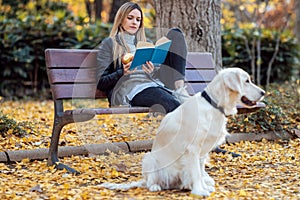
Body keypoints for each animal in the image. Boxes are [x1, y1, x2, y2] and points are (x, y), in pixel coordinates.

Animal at [99, 68, 264, 196]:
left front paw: (203, 186)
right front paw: (200, 191)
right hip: (149, 158)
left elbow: (200, 171)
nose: (263, 92)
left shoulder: (202, 152)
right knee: (150, 182)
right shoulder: (192, 149)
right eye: (246, 81)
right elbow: (196, 172)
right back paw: (155, 186)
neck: (213, 105)